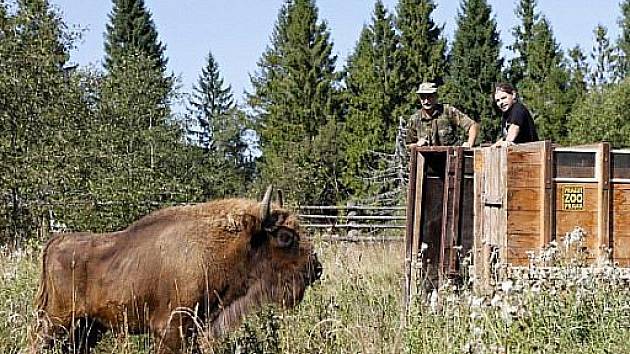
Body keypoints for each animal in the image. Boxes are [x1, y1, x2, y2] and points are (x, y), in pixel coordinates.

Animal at [30, 187, 324, 352]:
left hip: (87, 327)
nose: (316, 268)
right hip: (57, 321)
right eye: (285, 236)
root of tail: (56, 241)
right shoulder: (172, 329)